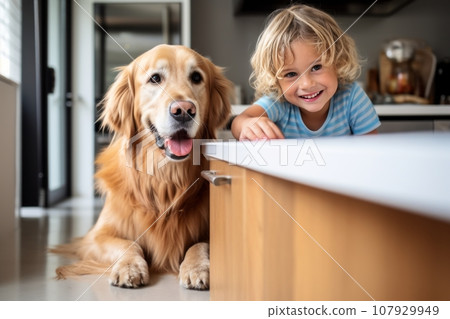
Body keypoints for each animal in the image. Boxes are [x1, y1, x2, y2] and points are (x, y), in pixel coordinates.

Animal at [53, 44, 232, 290]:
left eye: (196, 77)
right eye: (155, 78)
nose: (184, 110)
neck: (164, 179)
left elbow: (200, 244)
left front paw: (197, 268)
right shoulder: (95, 237)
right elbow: (128, 244)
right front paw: (129, 268)